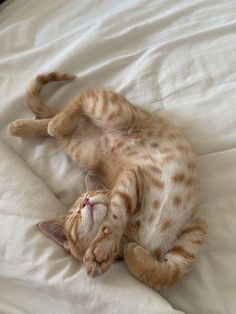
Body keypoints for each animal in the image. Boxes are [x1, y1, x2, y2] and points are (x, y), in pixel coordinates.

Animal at [7, 71, 206, 290]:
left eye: (90, 194)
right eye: (74, 217)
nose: (85, 202)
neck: (132, 233)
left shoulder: (192, 232)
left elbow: (166, 274)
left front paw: (121, 252)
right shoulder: (131, 178)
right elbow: (117, 214)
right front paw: (109, 250)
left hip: (116, 114)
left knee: (85, 97)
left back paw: (51, 124)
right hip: (82, 149)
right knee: (76, 109)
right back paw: (24, 126)